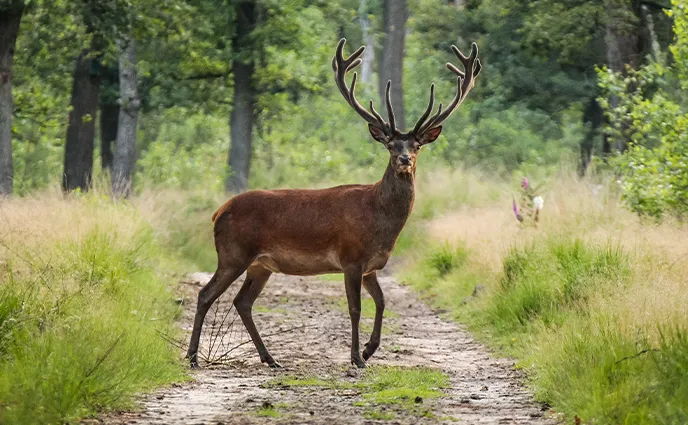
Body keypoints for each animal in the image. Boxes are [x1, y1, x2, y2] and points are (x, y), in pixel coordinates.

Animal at [186, 38, 481, 369]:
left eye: (416, 145)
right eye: (391, 145)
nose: (404, 159)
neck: (380, 222)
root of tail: (218, 212)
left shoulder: (371, 266)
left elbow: (382, 302)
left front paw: (368, 350)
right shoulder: (351, 258)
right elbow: (356, 309)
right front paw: (356, 358)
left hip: (260, 264)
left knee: (242, 301)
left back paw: (270, 358)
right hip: (233, 253)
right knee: (206, 295)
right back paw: (193, 356)